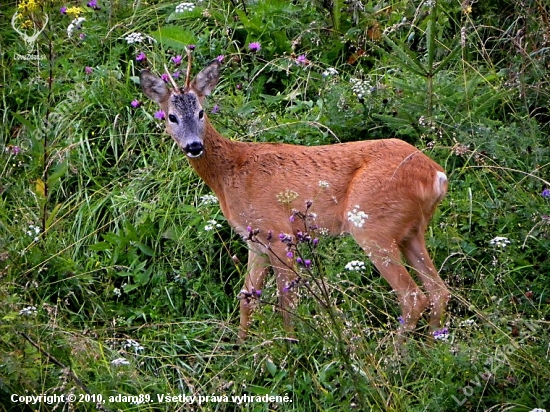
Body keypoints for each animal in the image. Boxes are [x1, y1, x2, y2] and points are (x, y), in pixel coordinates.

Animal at [140, 58, 450, 342]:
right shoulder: (254, 241)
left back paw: (396, 356)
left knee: (413, 297)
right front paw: (242, 351)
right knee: (439, 291)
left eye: (201, 112)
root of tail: (436, 175)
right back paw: (434, 345)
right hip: (411, 231)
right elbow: (247, 297)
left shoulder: (278, 232)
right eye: (171, 117)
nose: (194, 146)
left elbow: (286, 304)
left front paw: (291, 350)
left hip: (372, 225)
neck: (230, 174)